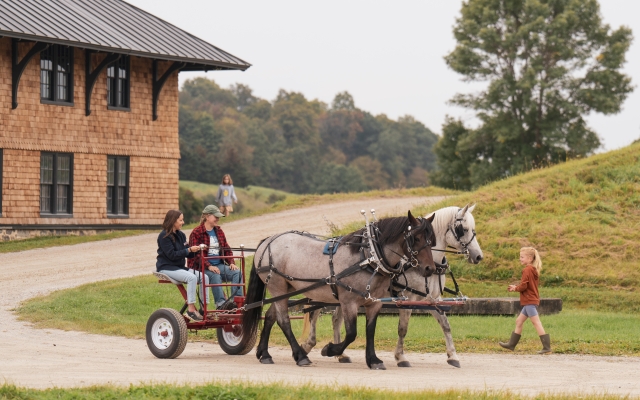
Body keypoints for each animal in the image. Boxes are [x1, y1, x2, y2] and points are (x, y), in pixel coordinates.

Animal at [241, 211, 437, 370]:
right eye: (415, 238)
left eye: (431, 241)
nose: (430, 269)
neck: (369, 258)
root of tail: (268, 240)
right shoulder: (349, 302)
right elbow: (351, 334)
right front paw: (330, 350)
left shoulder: (374, 303)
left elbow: (370, 330)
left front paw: (373, 360)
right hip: (277, 286)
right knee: (283, 320)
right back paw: (301, 356)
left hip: (284, 290)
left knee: (270, 316)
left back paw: (264, 354)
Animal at [300, 204, 483, 368]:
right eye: (463, 229)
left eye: (473, 229)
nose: (478, 256)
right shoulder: (407, 299)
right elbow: (403, 329)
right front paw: (400, 357)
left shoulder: (431, 299)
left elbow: (445, 325)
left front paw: (453, 356)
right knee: (314, 313)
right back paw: (308, 345)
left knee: (336, 319)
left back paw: (341, 355)